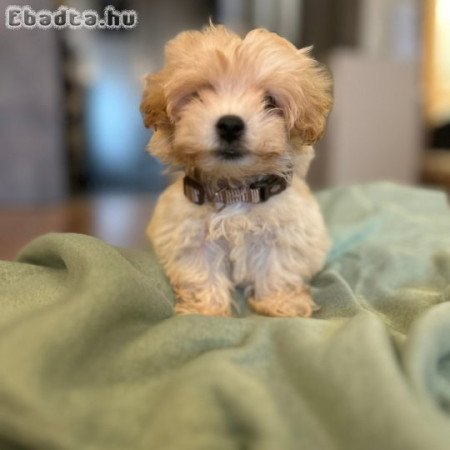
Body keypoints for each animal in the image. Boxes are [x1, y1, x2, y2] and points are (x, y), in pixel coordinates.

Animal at [142, 24, 334, 318]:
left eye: (270, 101)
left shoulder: (285, 232)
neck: (235, 189)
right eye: (198, 95)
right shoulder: (190, 235)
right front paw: (206, 309)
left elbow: (278, 267)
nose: (230, 125)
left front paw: (280, 304)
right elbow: (201, 271)